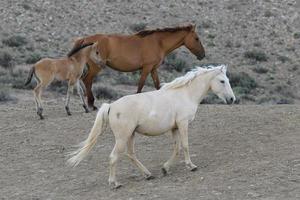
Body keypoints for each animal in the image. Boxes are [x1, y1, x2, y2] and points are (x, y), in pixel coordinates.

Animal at [68, 24, 205, 111]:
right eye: (196, 38)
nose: (203, 55)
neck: (158, 42)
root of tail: (85, 39)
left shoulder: (153, 69)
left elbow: (157, 85)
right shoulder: (146, 68)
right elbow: (140, 85)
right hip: (95, 67)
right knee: (87, 80)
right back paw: (91, 104)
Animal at [68, 65, 237, 188]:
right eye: (222, 81)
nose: (232, 99)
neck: (185, 94)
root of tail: (111, 106)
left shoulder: (175, 128)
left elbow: (177, 148)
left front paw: (165, 169)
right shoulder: (183, 124)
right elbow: (185, 145)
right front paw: (191, 166)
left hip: (131, 135)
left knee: (131, 154)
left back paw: (148, 175)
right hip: (123, 137)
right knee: (114, 157)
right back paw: (115, 183)